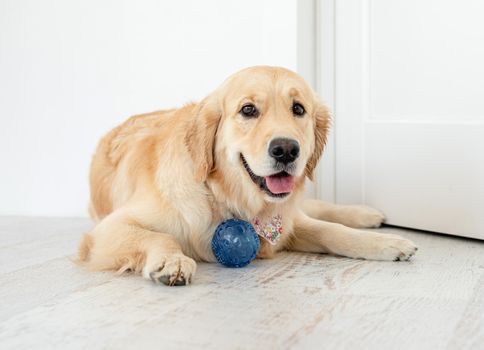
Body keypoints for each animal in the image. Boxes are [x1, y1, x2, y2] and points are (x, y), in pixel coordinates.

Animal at [78, 65, 416, 284]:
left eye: (298, 108)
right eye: (248, 110)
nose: (286, 150)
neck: (225, 197)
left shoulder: (285, 221)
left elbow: (331, 231)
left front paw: (387, 244)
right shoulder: (107, 229)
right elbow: (160, 236)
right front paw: (172, 261)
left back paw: (366, 214)